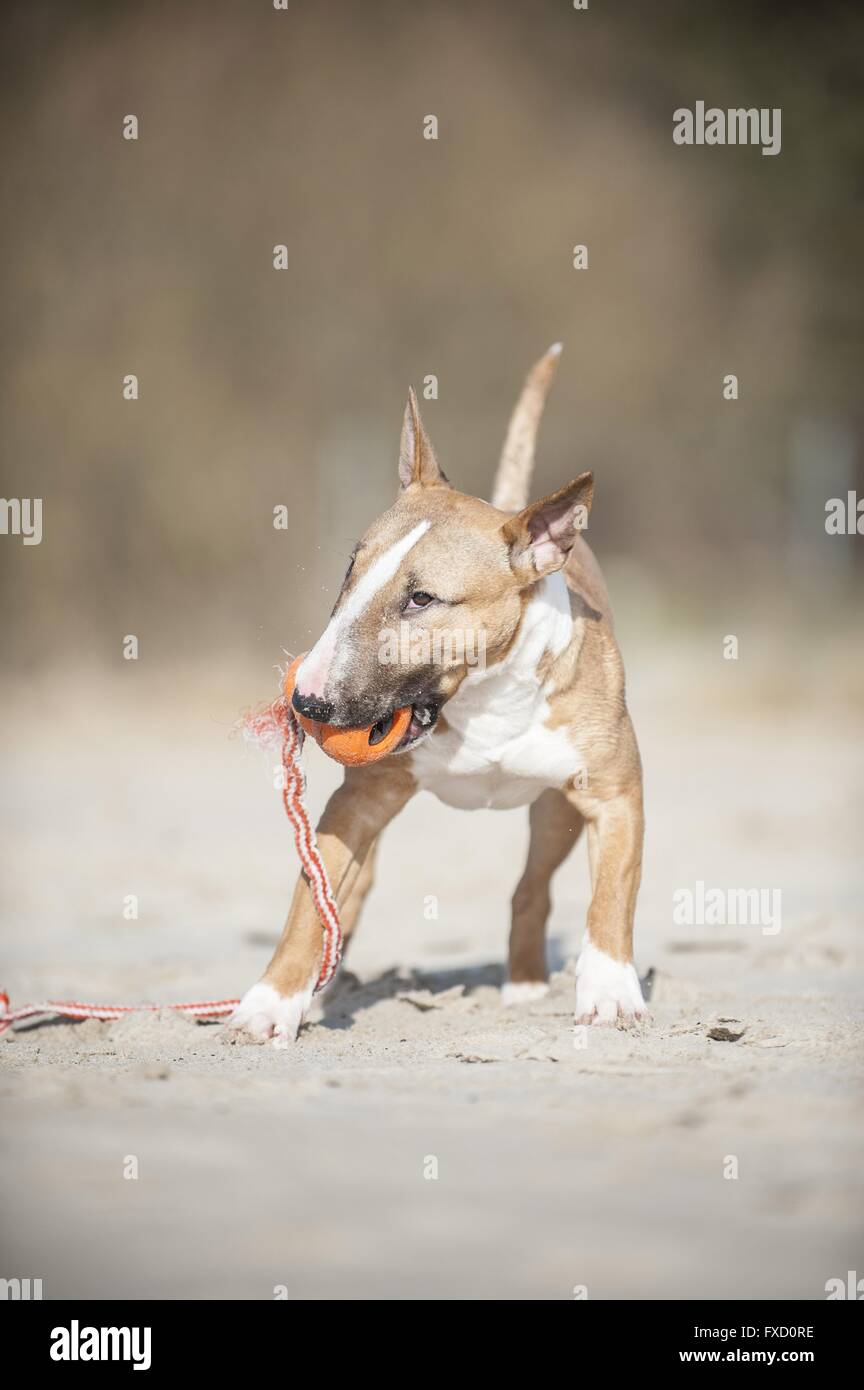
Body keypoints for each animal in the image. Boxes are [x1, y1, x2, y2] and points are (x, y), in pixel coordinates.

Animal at [230, 344, 650, 1045]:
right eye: (350, 571)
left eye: (422, 598)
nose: (306, 705)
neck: (481, 699)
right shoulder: (359, 803)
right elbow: (310, 904)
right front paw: (269, 1005)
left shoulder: (614, 795)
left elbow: (612, 896)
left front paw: (613, 995)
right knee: (349, 893)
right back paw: (322, 986)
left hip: (553, 812)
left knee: (531, 888)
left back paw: (526, 983)